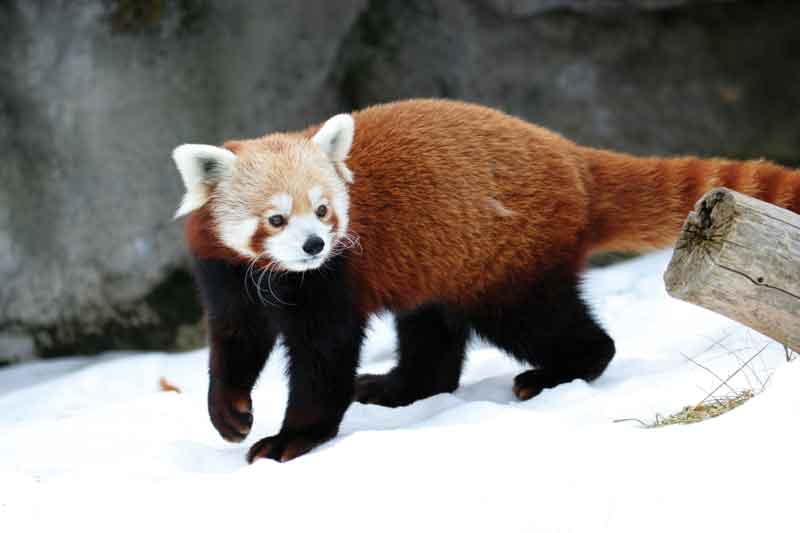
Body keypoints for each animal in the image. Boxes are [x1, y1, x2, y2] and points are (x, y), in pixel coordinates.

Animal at [173, 100, 800, 462]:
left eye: (324, 211)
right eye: (276, 219)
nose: (313, 246)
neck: (279, 277)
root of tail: (573, 158)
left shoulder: (334, 279)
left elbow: (323, 357)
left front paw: (293, 439)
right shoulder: (226, 274)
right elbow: (235, 341)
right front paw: (229, 412)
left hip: (506, 264)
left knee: (548, 326)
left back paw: (555, 372)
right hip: (443, 261)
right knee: (432, 332)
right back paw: (398, 388)